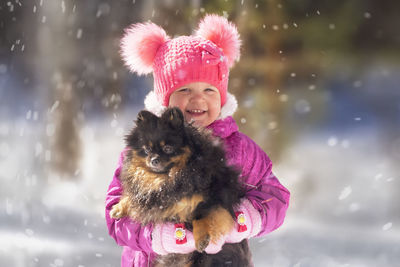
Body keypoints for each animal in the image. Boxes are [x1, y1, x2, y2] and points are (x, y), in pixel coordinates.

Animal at [109, 108, 252, 266]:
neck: (170, 178)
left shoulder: (216, 195)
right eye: (147, 150)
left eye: (168, 148)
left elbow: (202, 215)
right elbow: (135, 197)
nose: (154, 160)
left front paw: (202, 238)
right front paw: (119, 207)